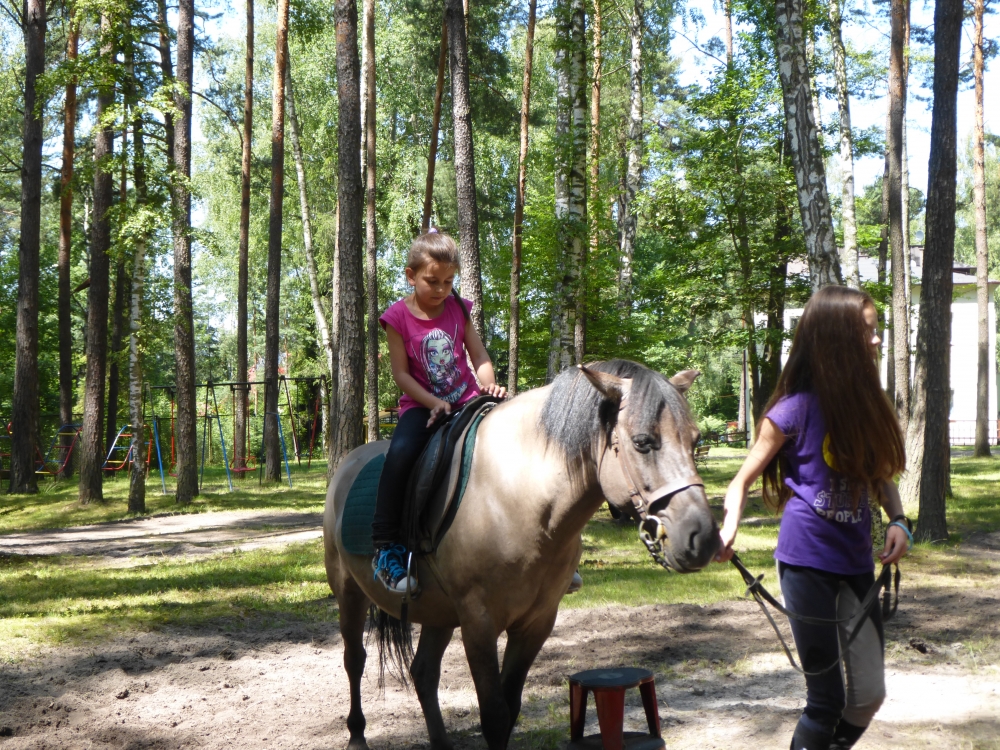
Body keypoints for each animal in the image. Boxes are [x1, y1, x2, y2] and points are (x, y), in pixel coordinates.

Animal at [323, 360, 720, 750]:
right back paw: (357, 736)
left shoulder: (536, 622)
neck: (516, 495)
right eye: (642, 442)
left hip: (439, 612)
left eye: (695, 440)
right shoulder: (478, 623)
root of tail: (350, 461)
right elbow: (495, 715)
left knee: (423, 672)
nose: (702, 538)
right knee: (354, 660)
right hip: (350, 593)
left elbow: (510, 708)